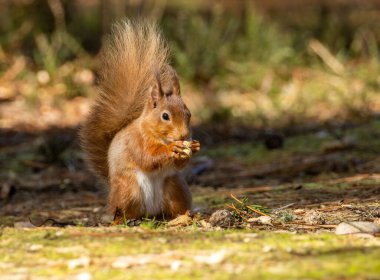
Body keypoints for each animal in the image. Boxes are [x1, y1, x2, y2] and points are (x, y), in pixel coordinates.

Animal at [79, 19, 200, 222]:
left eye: (188, 113)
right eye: (165, 116)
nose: (184, 135)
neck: (157, 134)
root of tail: (150, 212)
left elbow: (179, 165)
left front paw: (194, 147)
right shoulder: (135, 141)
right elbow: (147, 158)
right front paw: (172, 149)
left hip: (175, 186)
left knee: (174, 208)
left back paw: (185, 216)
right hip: (128, 190)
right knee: (122, 211)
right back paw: (122, 219)